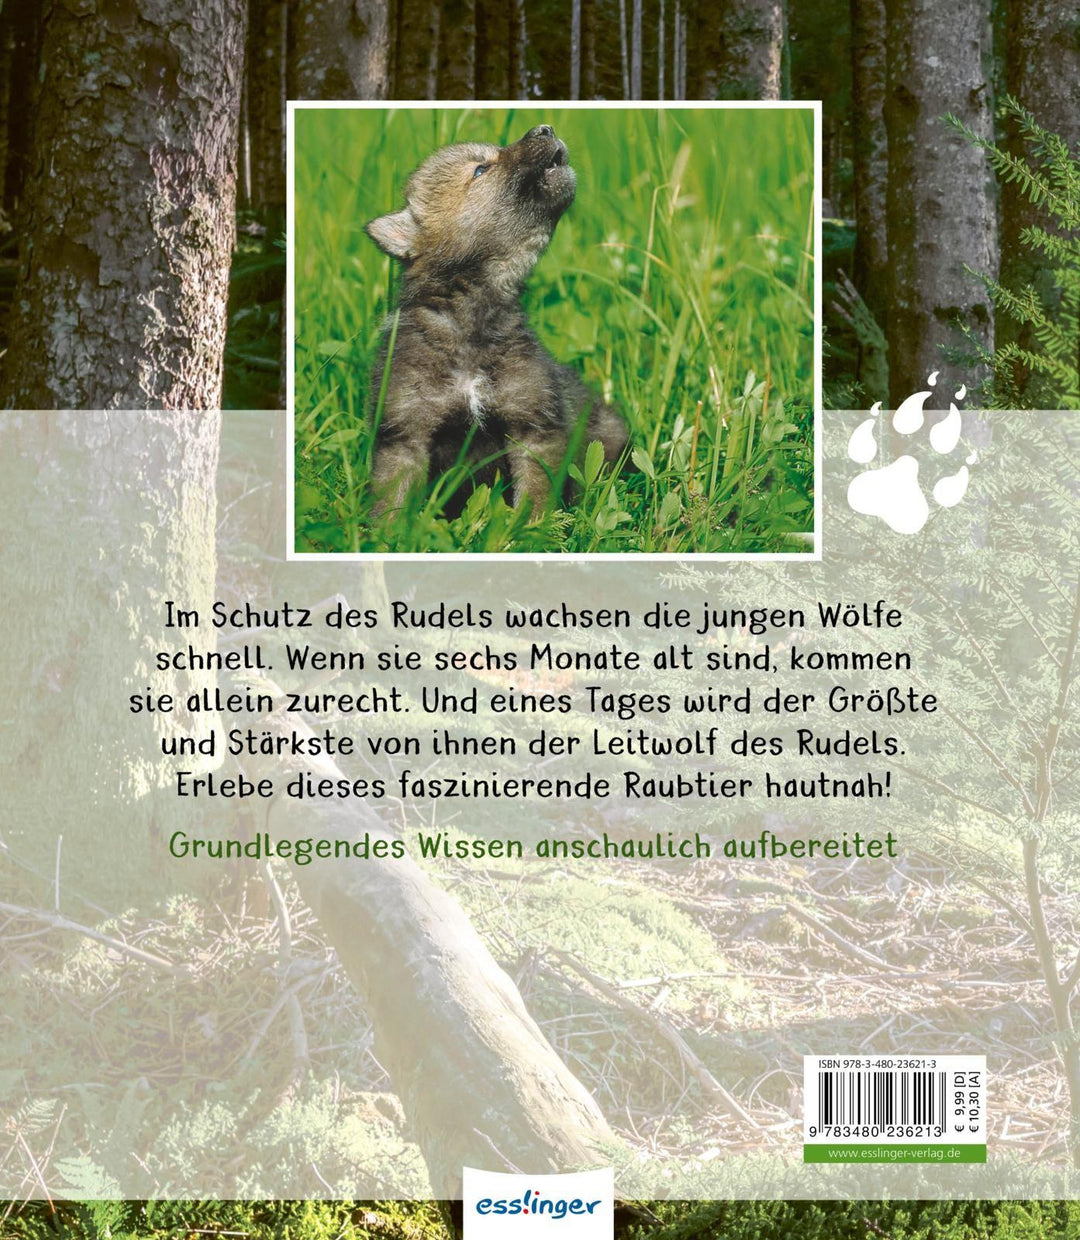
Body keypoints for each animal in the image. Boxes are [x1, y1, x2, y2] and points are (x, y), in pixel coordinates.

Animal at [365, 124, 628, 513]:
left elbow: (533, 501)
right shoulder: (404, 436)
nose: (545, 128)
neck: (471, 321)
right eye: (480, 169)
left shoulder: (533, 428)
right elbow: (391, 507)